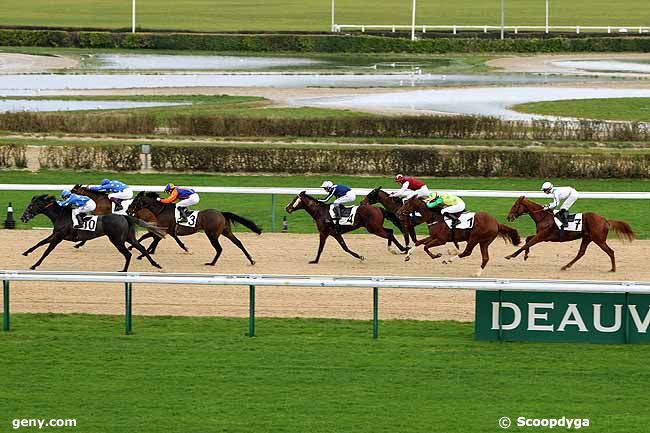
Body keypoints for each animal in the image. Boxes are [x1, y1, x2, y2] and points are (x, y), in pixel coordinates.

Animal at [19, 195, 163, 270]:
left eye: (30, 206)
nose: (23, 218)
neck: (60, 215)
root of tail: (124, 216)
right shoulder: (56, 234)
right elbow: (40, 242)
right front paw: (26, 252)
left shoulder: (59, 237)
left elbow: (47, 251)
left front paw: (34, 265)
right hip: (128, 237)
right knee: (141, 247)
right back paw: (155, 264)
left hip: (117, 240)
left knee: (128, 254)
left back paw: (124, 270)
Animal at [126, 192, 260, 264]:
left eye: (135, 201)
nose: (128, 211)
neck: (161, 210)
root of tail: (221, 213)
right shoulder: (167, 231)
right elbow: (152, 239)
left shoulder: (164, 230)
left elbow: (151, 240)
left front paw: (139, 253)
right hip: (226, 232)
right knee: (238, 243)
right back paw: (251, 260)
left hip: (212, 234)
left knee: (219, 248)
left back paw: (211, 263)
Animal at [502, 195, 632, 270]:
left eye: (515, 205)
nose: (508, 217)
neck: (543, 217)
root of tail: (605, 220)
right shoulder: (542, 236)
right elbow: (528, 239)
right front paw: (526, 255)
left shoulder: (542, 236)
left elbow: (527, 243)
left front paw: (511, 255)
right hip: (587, 238)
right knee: (581, 253)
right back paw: (565, 266)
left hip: (598, 239)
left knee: (610, 251)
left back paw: (613, 269)